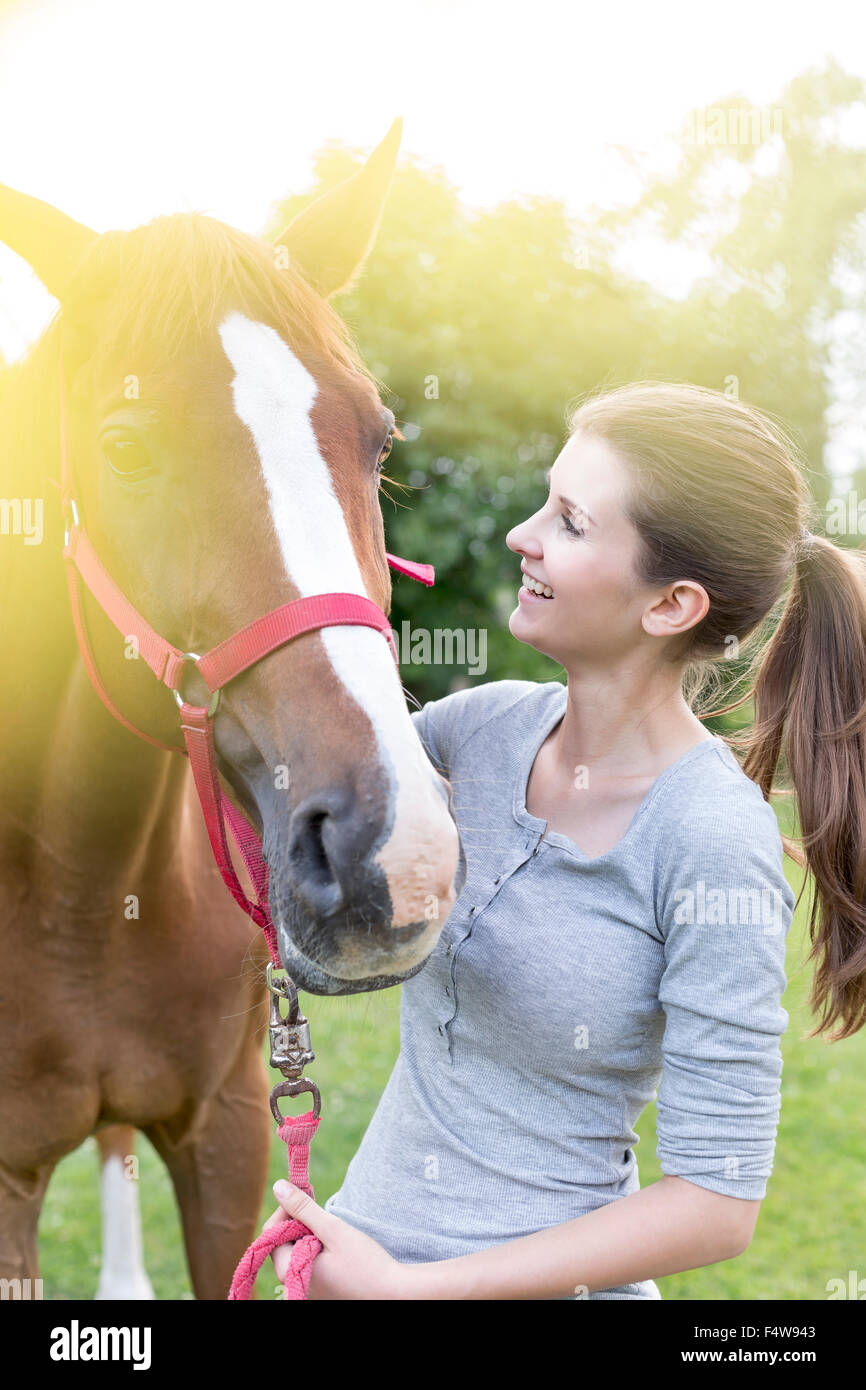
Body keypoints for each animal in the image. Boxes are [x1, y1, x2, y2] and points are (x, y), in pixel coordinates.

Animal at [0, 122, 461, 1301]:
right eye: (123, 445)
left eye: (380, 440)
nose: (395, 856)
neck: (80, 886)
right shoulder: (6, 1183)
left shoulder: (231, 1131)